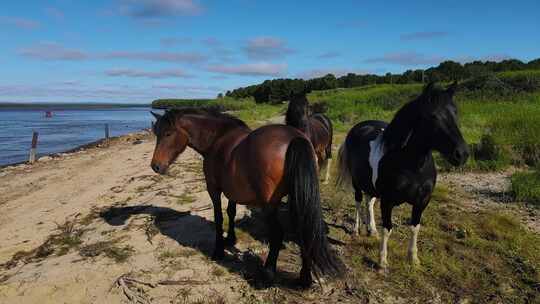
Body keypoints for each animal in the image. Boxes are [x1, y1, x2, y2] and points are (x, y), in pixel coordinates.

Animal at [149, 108, 342, 286]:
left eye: (167, 133)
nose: (155, 166)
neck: (217, 139)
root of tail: (295, 138)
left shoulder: (213, 189)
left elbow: (219, 217)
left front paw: (218, 250)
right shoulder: (233, 191)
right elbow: (231, 212)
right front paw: (230, 239)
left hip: (270, 205)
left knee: (277, 234)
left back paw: (267, 275)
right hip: (298, 198)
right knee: (304, 230)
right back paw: (305, 278)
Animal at [338, 82, 468, 270]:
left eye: (455, 112)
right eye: (432, 116)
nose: (462, 154)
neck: (412, 166)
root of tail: (358, 127)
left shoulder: (422, 201)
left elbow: (415, 227)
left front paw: (413, 259)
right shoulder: (387, 201)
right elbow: (388, 228)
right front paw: (382, 262)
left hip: (371, 186)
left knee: (369, 202)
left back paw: (372, 230)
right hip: (357, 184)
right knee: (358, 202)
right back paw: (356, 230)